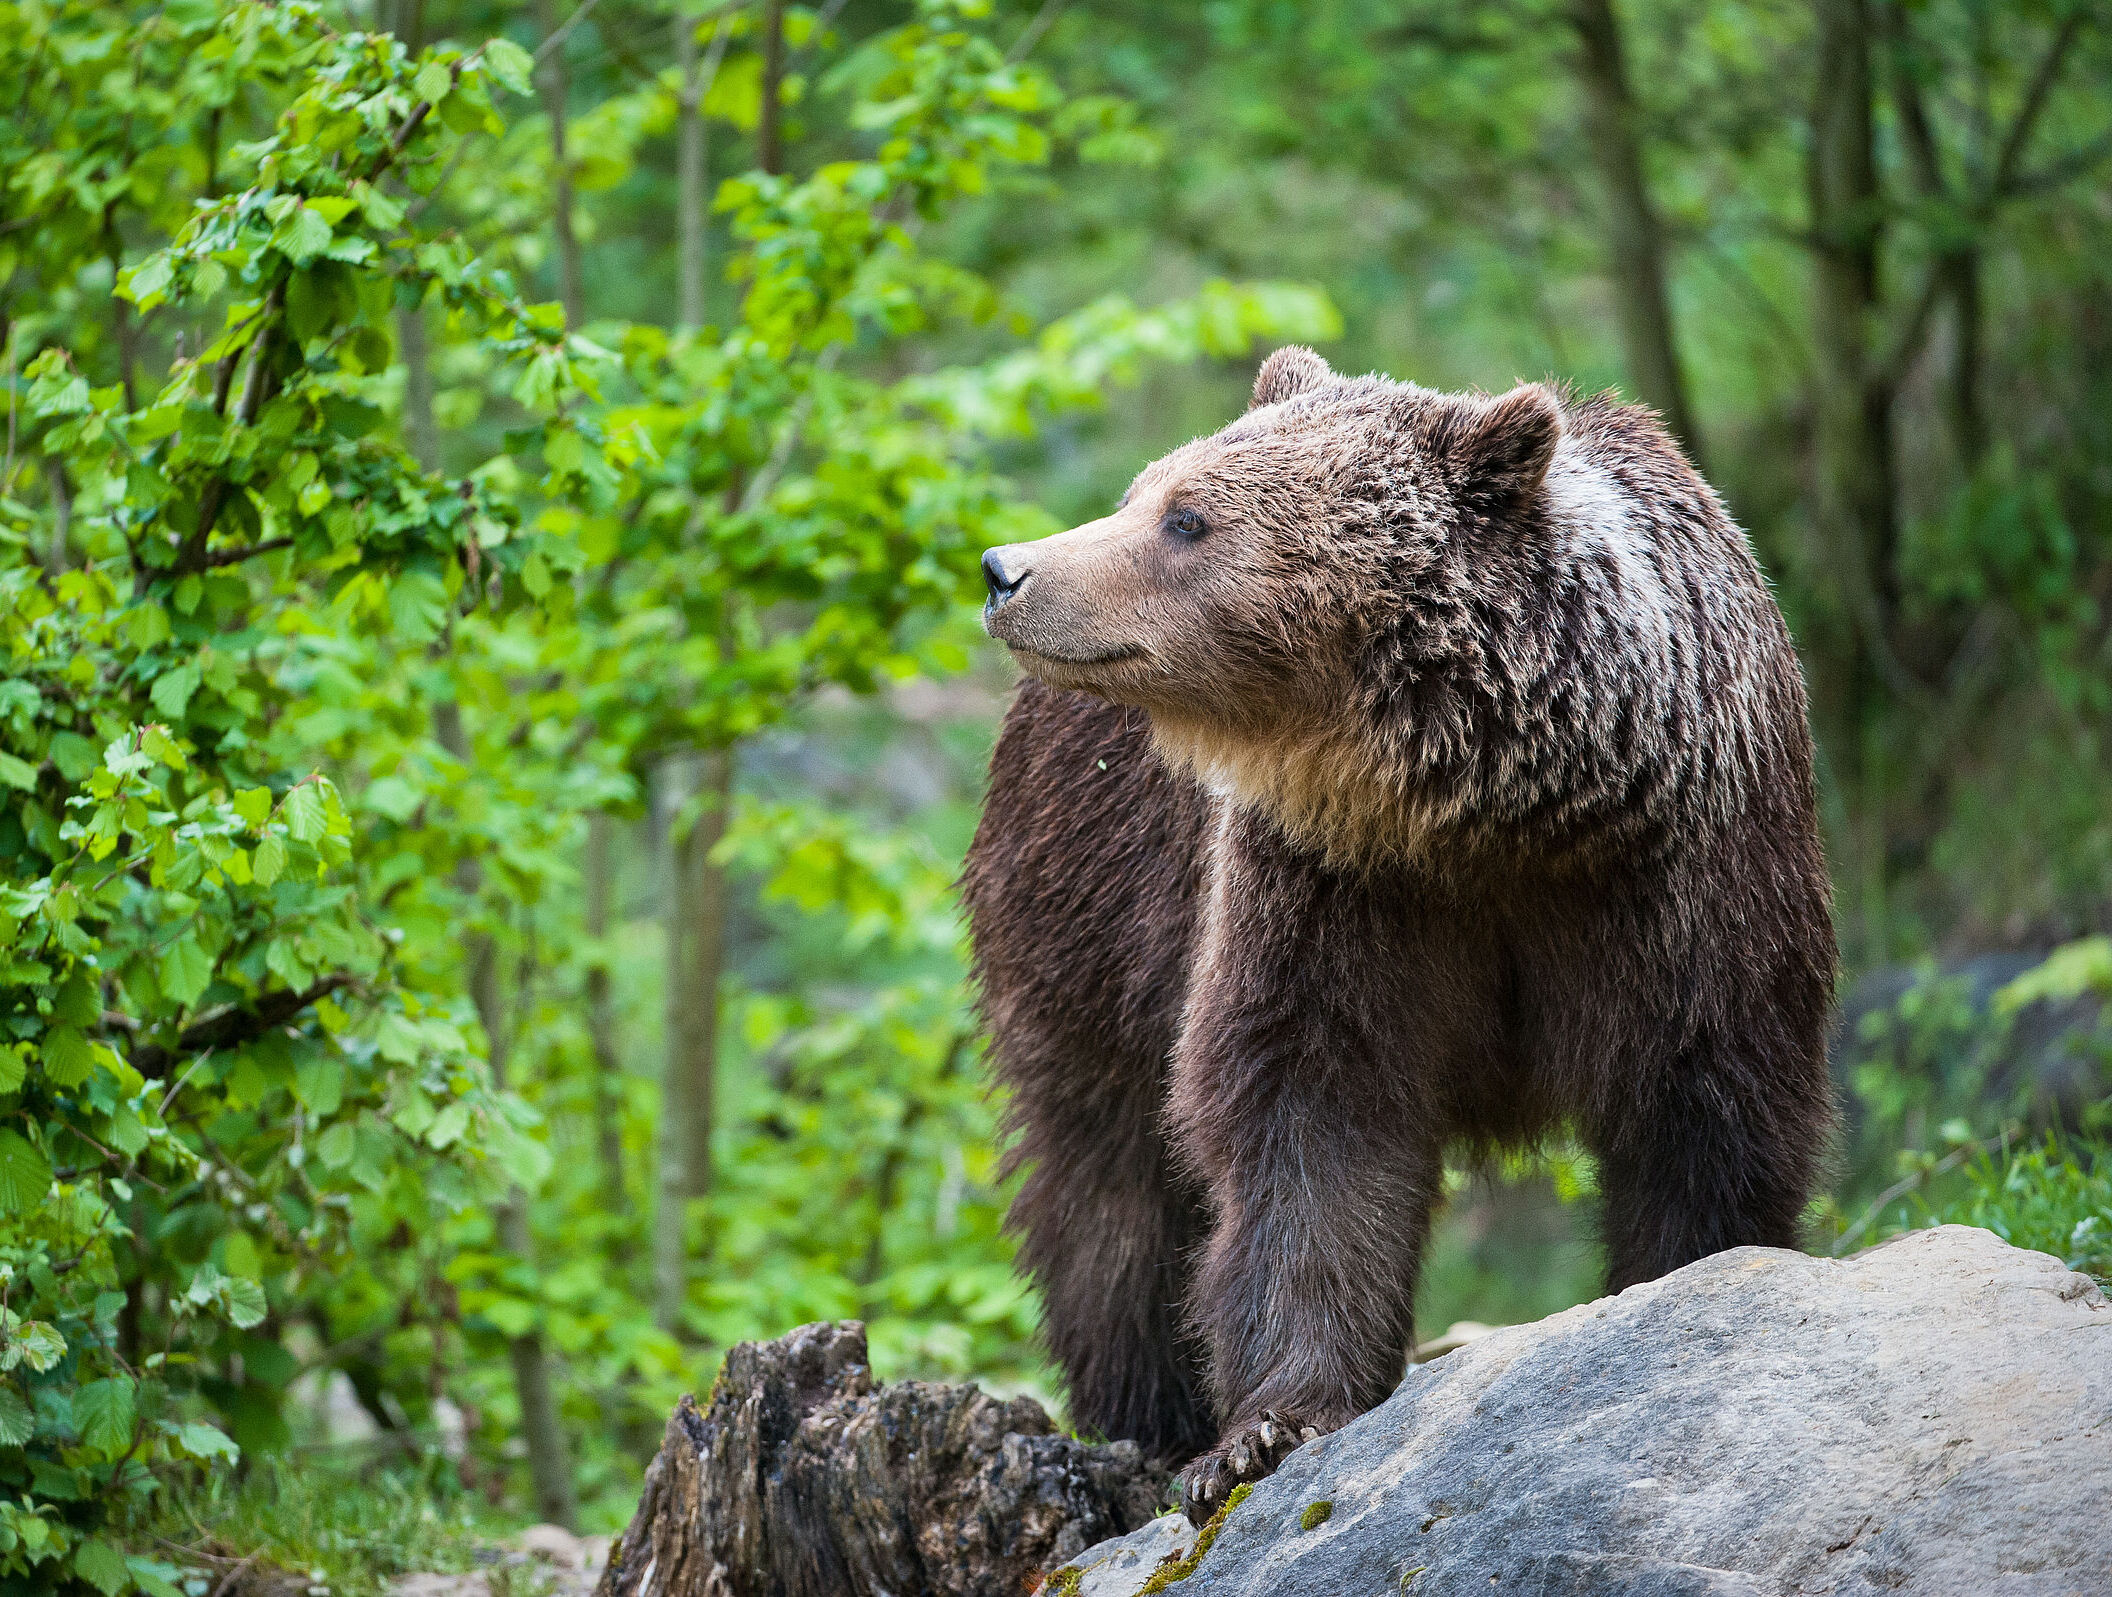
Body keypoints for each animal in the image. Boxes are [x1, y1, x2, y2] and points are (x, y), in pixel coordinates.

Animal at [958, 348, 1833, 1520]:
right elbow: (1314, 1119)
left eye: (1186, 516)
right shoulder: (1332, 887)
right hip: (1084, 910)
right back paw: (1148, 1409)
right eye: (1150, 490)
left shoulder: (1687, 872)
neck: (1500, 812)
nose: (1007, 568)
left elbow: (1705, 1100)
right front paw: (1266, 1428)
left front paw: (1685, 1286)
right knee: (1109, 1177)